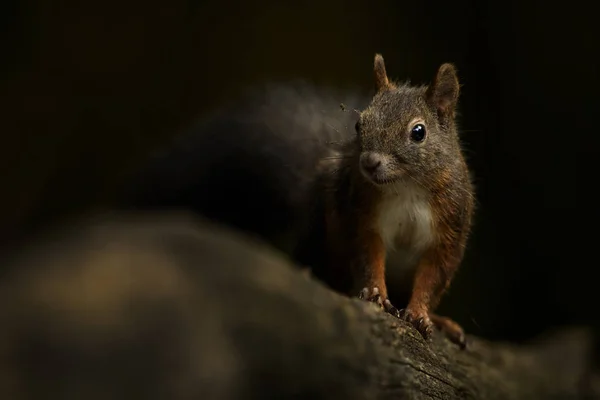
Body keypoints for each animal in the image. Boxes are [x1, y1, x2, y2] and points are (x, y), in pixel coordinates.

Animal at [304, 53, 474, 346]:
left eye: (419, 132)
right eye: (359, 125)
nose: (369, 162)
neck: (405, 187)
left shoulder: (449, 227)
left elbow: (432, 275)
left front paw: (420, 313)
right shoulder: (362, 213)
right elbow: (368, 255)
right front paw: (376, 295)